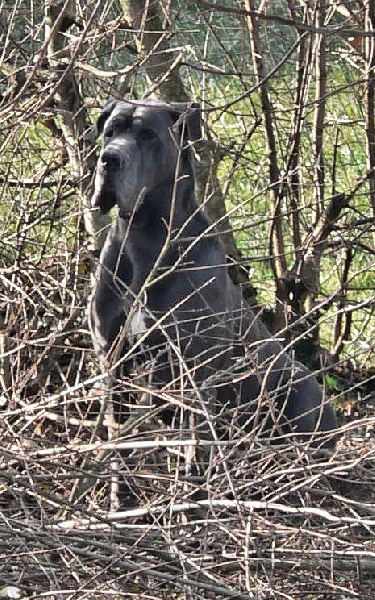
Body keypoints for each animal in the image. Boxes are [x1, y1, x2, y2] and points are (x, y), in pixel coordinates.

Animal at [89, 99, 338, 488]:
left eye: (148, 135)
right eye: (109, 132)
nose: (109, 159)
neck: (145, 236)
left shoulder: (197, 362)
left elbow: (195, 433)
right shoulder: (110, 351)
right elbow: (116, 420)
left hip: (297, 387)